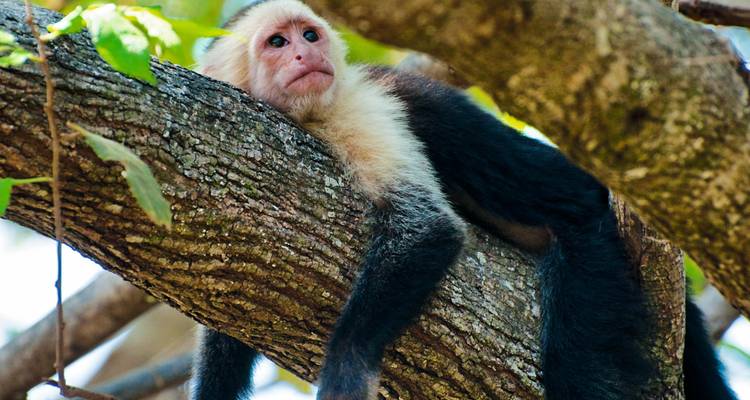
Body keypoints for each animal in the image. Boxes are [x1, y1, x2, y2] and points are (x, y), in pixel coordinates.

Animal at [193, 1, 737, 399]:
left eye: (309, 36)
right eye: (277, 43)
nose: (307, 57)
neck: (308, 117)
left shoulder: (357, 108)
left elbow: (427, 228)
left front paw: (347, 368)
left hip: (600, 241)